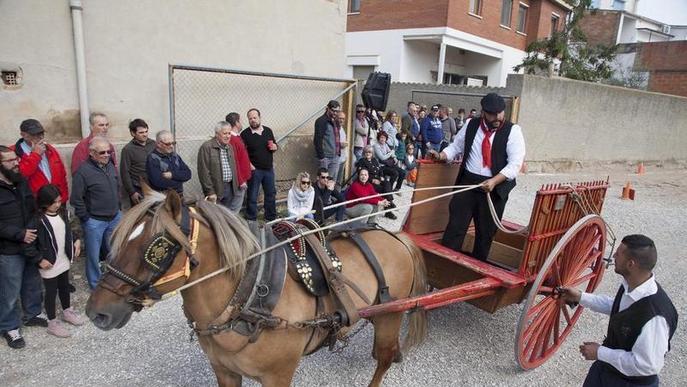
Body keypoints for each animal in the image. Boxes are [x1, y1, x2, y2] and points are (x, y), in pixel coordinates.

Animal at [84, 189, 430, 387]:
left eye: (157, 247)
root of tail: (397, 238)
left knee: (383, 357)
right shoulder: (224, 371)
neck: (248, 297)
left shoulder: (277, 377)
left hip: (390, 314)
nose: (97, 312)